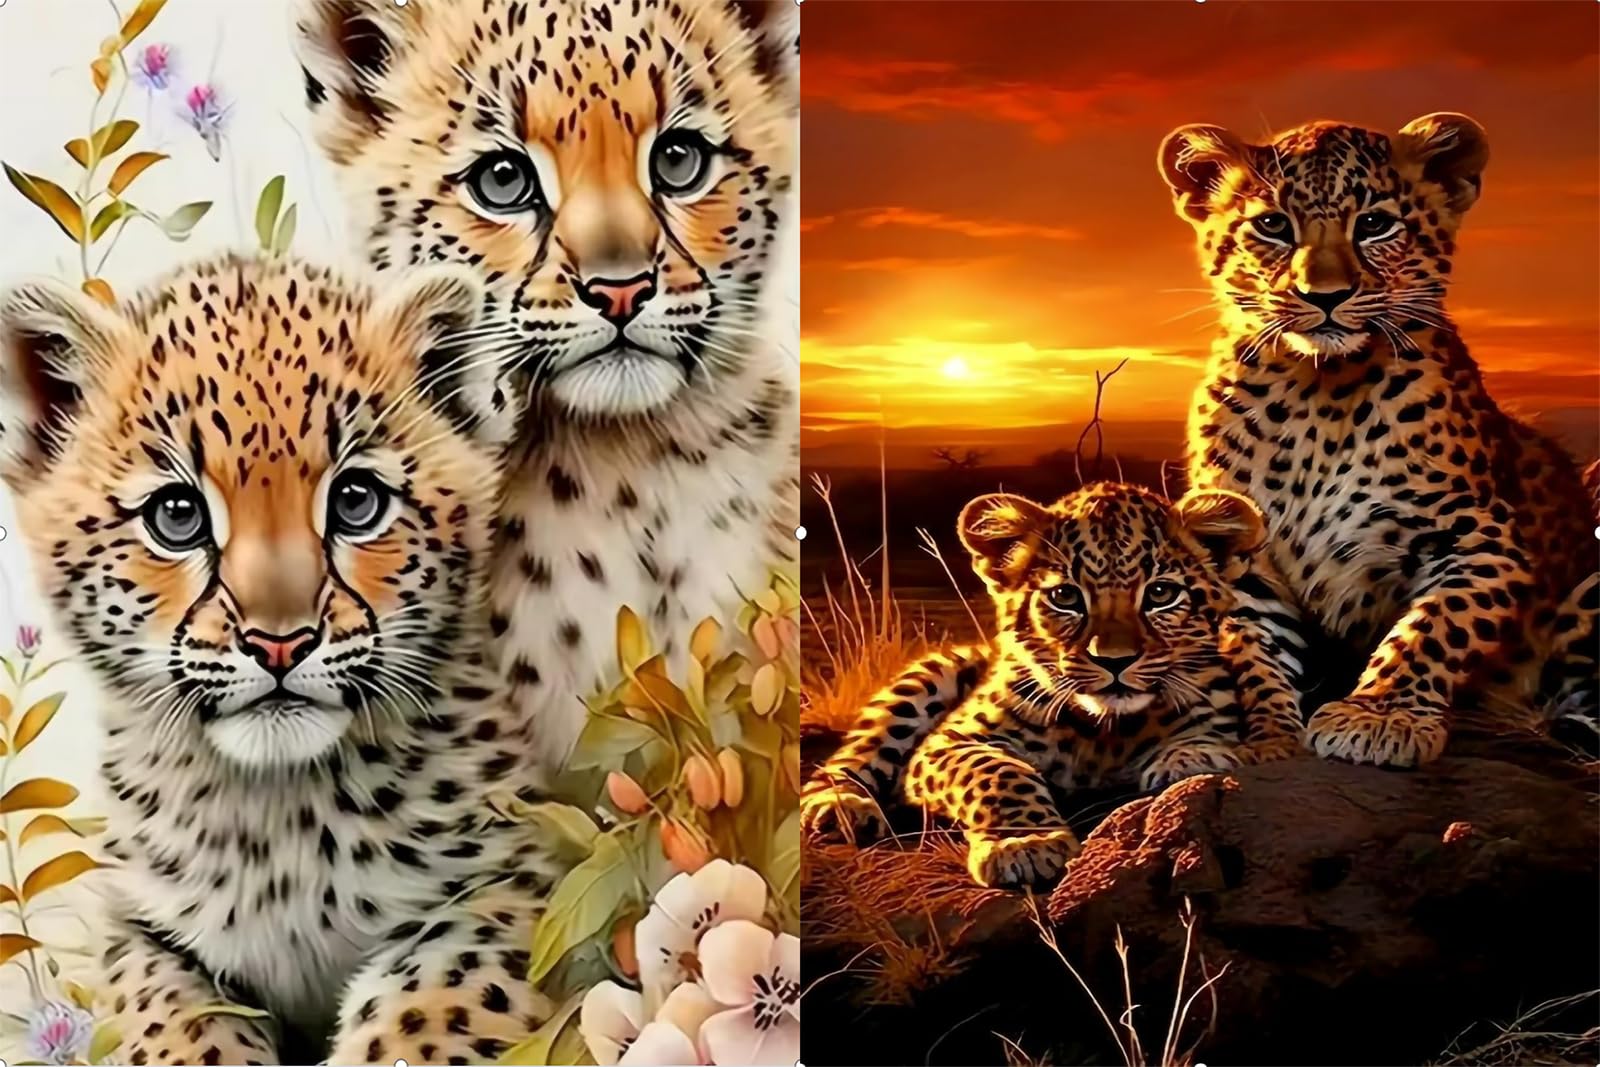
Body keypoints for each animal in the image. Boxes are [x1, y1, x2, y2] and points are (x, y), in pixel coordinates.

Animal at [0, 254, 568, 1065]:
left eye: (357, 500)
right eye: (177, 515)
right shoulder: (138, 925)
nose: (279, 642)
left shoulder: (501, 881)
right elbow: (172, 1019)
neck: (281, 822)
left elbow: (425, 1014)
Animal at [804, 482, 1307, 889]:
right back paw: (842, 806)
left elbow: (1206, 733)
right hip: (930, 676)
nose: (1114, 661)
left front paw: (1191, 758)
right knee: (858, 751)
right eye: (1065, 597)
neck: (1106, 734)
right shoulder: (949, 743)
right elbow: (998, 772)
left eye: (1161, 594)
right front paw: (1025, 844)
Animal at [1157, 112, 1597, 768]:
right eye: (1272, 225)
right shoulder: (1243, 559)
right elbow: (1254, 656)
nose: (1325, 295)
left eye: (1373, 225)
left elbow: (1433, 627)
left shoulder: (1481, 540)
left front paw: (1379, 716)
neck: (1315, 391)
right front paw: (1267, 739)